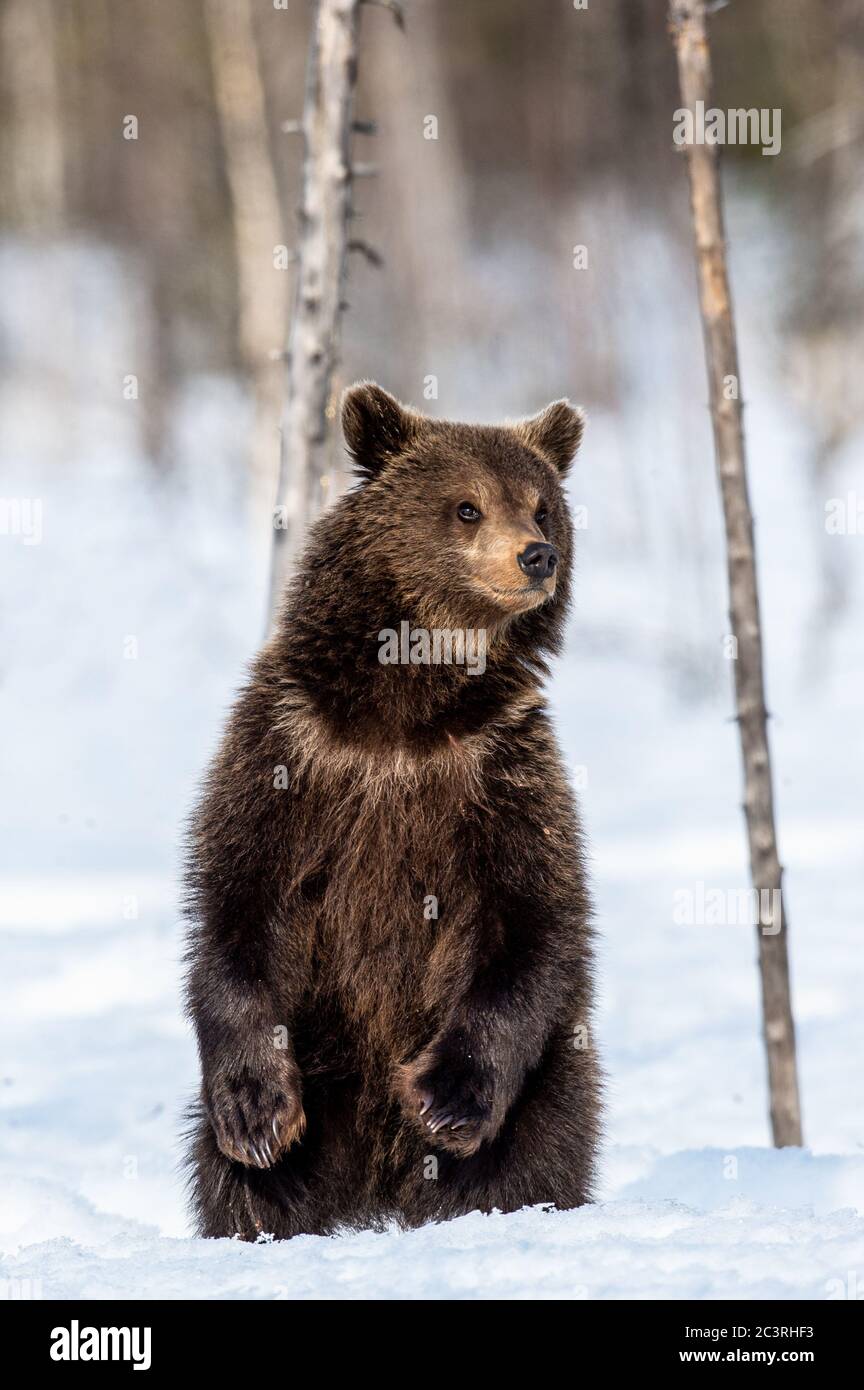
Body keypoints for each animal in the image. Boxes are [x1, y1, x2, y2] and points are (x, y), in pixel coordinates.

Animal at [183, 383, 600, 1239]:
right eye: (467, 507)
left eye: (543, 507)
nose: (535, 555)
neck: (402, 716)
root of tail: (376, 1189)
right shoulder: (292, 748)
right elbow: (238, 898)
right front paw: (258, 1113)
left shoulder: (499, 766)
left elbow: (535, 916)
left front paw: (447, 1097)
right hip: (323, 1064)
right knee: (234, 1172)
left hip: (553, 1074)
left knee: (540, 1139)